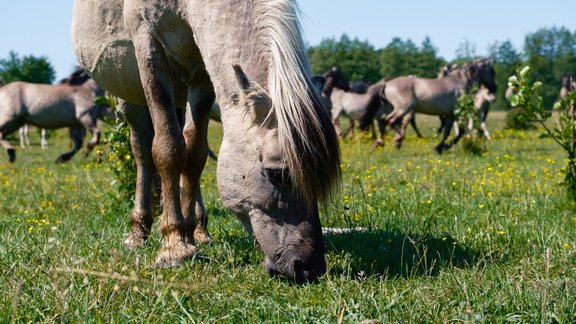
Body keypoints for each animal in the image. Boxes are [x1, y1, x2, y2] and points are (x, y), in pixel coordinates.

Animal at [73, 0, 340, 282]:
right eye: (275, 174)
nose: (309, 267)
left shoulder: (202, 71)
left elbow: (194, 155)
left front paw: (188, 236)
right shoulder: (148, 47)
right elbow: (167, 150)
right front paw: (175, 247)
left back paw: (199, 231)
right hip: (130, 94)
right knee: (142, 152)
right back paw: (139, 231)